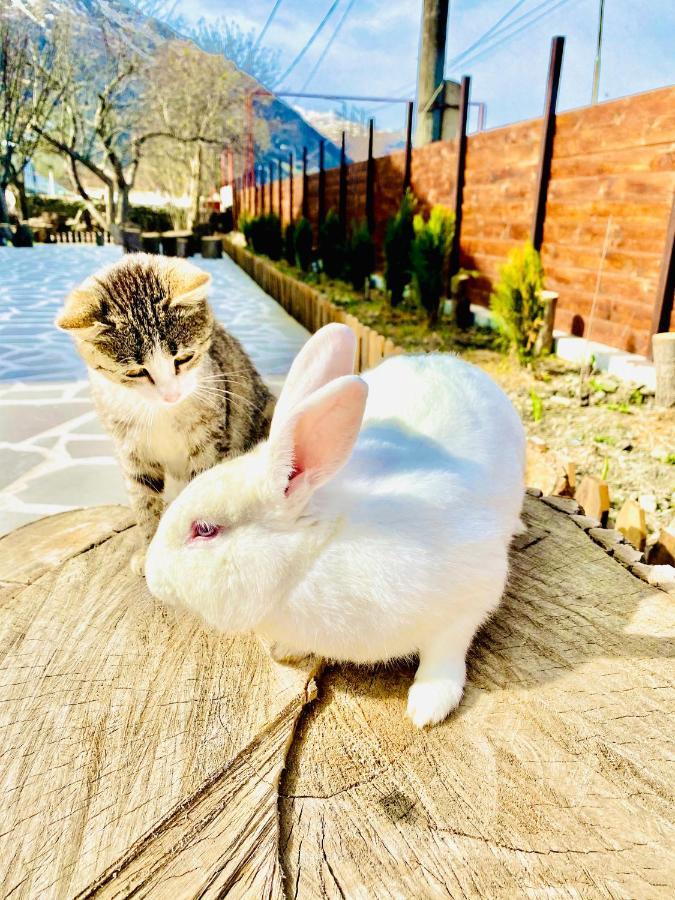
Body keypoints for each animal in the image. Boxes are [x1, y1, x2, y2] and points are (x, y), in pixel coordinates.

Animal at [58, 251, 274, 576]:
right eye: (135, 372)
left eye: (183, 358)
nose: (171, 394)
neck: (160, 413)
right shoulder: (130, 448)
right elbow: (144, 499)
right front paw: (150, 550)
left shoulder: (211, 438)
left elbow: (201, 489)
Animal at [147, 324, 528, 732]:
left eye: (205, 529)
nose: (151, 578)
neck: (314, 553)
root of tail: (450, 360)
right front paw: (286, 650)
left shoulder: (470, 598)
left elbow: (445, 652)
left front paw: (428, 707)